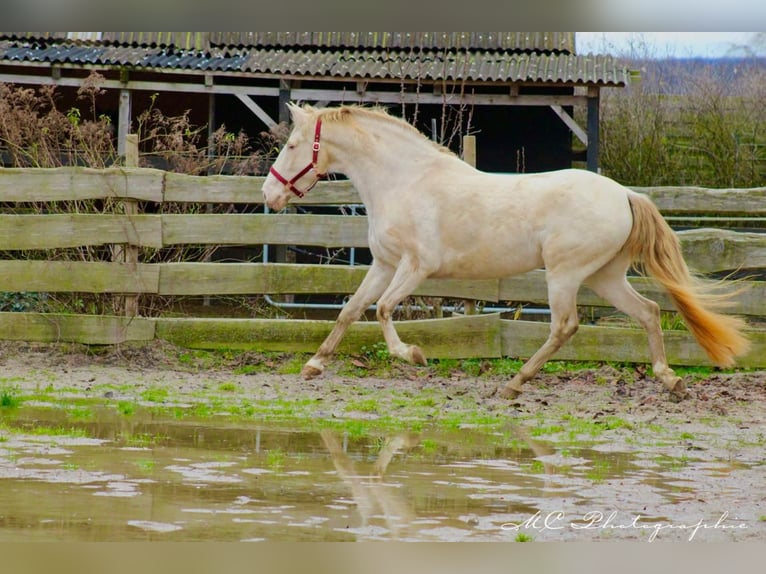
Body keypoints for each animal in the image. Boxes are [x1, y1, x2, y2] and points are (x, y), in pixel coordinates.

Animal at [262, 103, 752, 400]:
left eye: (292, 146)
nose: (269, 195)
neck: (405, 181)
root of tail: (623, 194)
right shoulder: (384, 264)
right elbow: (350, 310)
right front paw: (313, 365)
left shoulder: (416, 267)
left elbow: (381, 309)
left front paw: (414, 355)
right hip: (604, 276)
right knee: (648, 311)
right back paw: (669, 379)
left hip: (564, 275)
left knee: (565, 326)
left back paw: (515, 383)